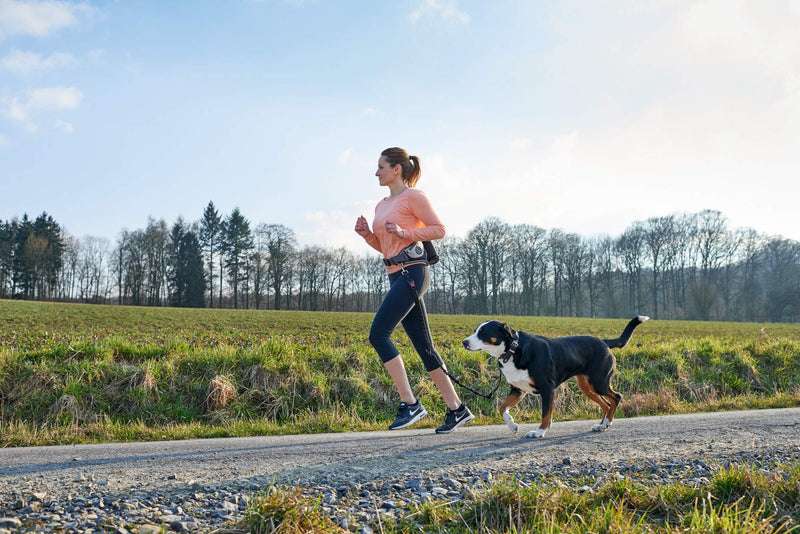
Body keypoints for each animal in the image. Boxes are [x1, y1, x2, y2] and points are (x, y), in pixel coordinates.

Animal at [462, 318, 648, 440]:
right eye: (476, 330)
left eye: (483, 332)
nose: (464, 342)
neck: (513, 351)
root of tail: (603, 342)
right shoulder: (518, 390)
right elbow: (502, 408)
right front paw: (513, 425)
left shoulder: (547, 388)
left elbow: (546, 414)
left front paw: (539, 432)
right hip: (587, 387)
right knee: (606, 404)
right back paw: (601, 425)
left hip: (599, 383)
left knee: (616, 397)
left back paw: (607, 423)